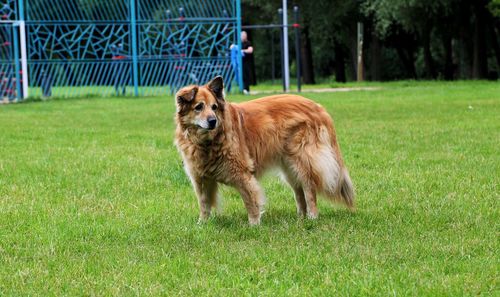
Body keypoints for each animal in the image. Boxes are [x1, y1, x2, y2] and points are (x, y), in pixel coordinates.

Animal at [174, 76, 354, 224]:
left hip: (302, 161)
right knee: (299, 191)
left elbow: (250, 200)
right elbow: (204, 203)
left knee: (309, 189)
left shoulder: (242, 174)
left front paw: (254, 224)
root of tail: (319, 108)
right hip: (289, 167)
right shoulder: (200, 178)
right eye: (199, 107)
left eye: (214, 107)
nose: (213, 121)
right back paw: (300, 218)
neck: (206, 142)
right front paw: (202, 224)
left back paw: (312, 217)